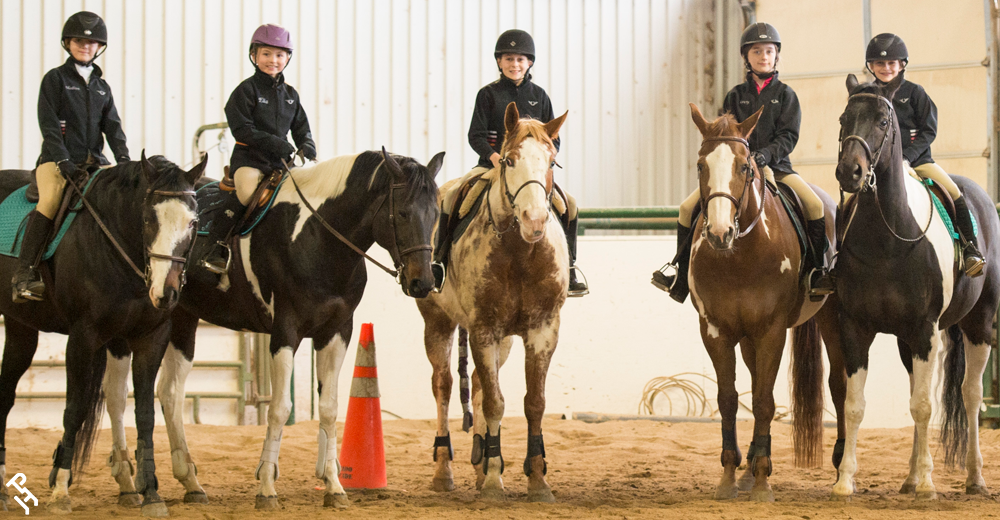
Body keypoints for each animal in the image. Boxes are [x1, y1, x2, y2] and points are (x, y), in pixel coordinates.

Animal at [0, 151, 204, 516]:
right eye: (148, 220)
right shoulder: (83, 337)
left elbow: (145, 414)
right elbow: (75, 409)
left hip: (21, 327)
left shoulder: (151, 337)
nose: (165, 294)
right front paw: (60, 492)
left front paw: (151, 494)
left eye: (193, 223)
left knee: (5, 395)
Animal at [100, 148, 442, 510]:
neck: (317, 237)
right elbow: (279, 409)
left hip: (182, 319)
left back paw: (190, 481)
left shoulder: (337, 332)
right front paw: (266, 485)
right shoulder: (285, 332)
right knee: (118, 395)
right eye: (402, 213)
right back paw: (128, 482)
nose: (422, 282)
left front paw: (334, 486)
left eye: (435, 213)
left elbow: (330, 408)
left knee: (170, 392)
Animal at [416, 99, 572, 502]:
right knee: (444, 385)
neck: (519, 251)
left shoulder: (543, 330)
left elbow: (534, 403)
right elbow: (495, 402)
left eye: (551, 161)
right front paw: (490, 483)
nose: (535, 219)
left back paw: (482, 461)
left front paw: (536, 478)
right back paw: (445, 471)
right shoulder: (484, 328)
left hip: (503, 340)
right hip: (438, 322)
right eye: (509, 160)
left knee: (477, 382)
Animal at [688, 103, 844, 502]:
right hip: (747, 339)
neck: (740, 254)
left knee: (839, 384)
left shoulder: (772, 331)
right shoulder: (715, 331)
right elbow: (730, 399)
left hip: (831, 322)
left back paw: (840, 468)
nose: (719, 233)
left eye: (745, 166)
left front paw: (761, 483)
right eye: (701, 165)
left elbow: (763, 401)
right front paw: (731, 477)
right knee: (757, 378)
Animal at [828, 73, 1000, 500]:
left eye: (882, 121)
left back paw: (974, 478)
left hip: (978, 325)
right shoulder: (855, 329)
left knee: (970, 396)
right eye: (844, 119)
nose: (850, 173)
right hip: (908, 342)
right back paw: (907, 479)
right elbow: (855, 404)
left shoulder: (925, 330)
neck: (887, 240)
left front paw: (927, 482)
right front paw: (845, 481)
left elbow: (924, 406)